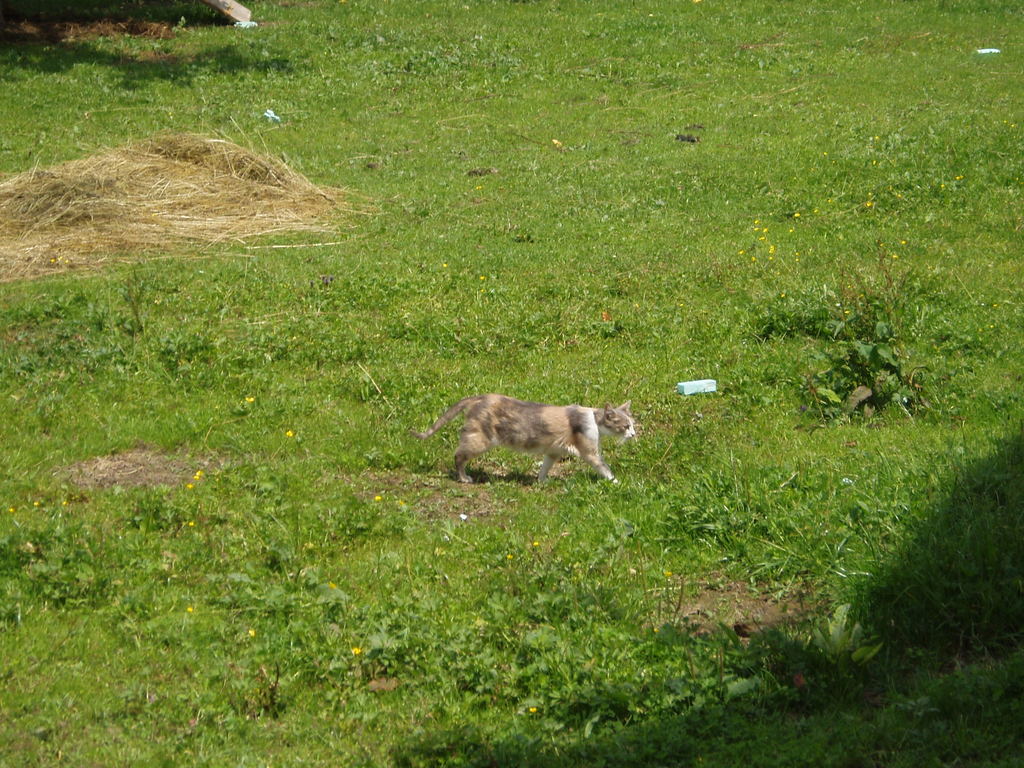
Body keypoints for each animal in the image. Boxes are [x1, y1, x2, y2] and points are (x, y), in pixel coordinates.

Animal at [407, 393, 630, 483]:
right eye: (626, 426)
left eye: (632, 424)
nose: (633, 434)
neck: (593, 420)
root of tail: (478, 396)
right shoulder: (589, 451)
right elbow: (604, 467)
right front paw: (617, 482)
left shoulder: (553, 451)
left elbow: (545, 467)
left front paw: (542, 481)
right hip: (480, 440)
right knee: (458, 455)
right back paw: (464, 478)